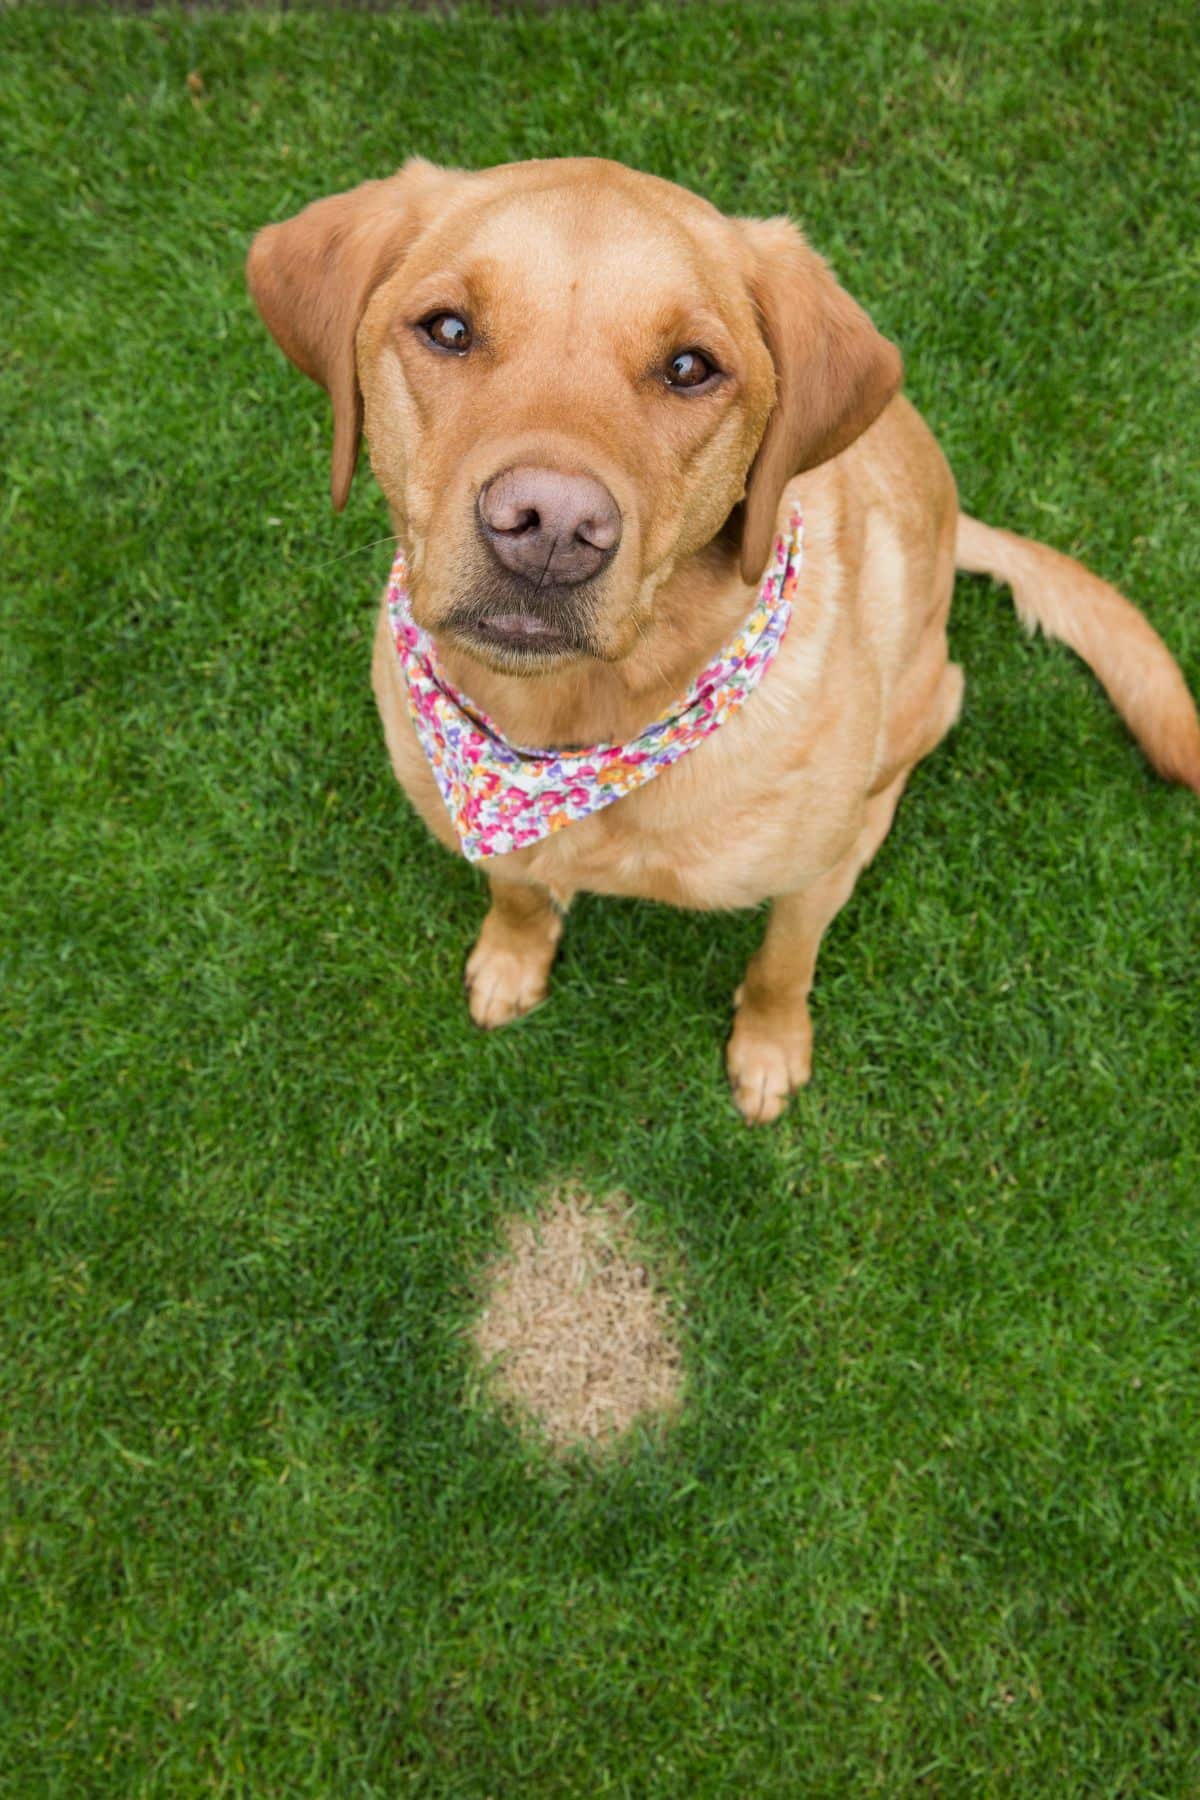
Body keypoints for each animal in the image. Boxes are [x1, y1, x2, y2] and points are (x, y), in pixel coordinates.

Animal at [246, 162, 1200, 1130]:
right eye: (448, 328)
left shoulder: (808, 884)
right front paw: (513, 956)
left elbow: (783, 965)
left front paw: (769, 1051)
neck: (570, 733)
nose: (550, 527)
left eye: (688, 368)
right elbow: (513, 887)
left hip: (925, 698)